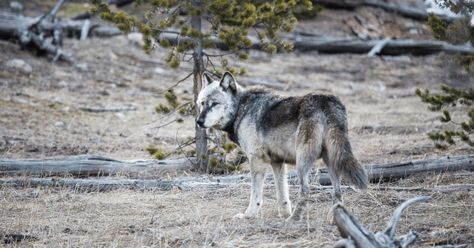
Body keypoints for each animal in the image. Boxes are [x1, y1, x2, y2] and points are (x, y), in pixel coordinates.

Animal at [194, 71, 368, 221]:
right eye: (202, 104)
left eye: (214, 104)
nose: (199, 121)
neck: (241, 110)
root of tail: (326, 102)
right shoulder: (277, 162)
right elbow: (282, 194)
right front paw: (284, 213)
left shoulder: (256, 160)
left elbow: (255, 195)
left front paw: (249, 215)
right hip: (331, 160)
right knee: (337, 193)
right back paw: (334, 219)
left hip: (302, 163)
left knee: (306, 191)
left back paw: (293, 220)